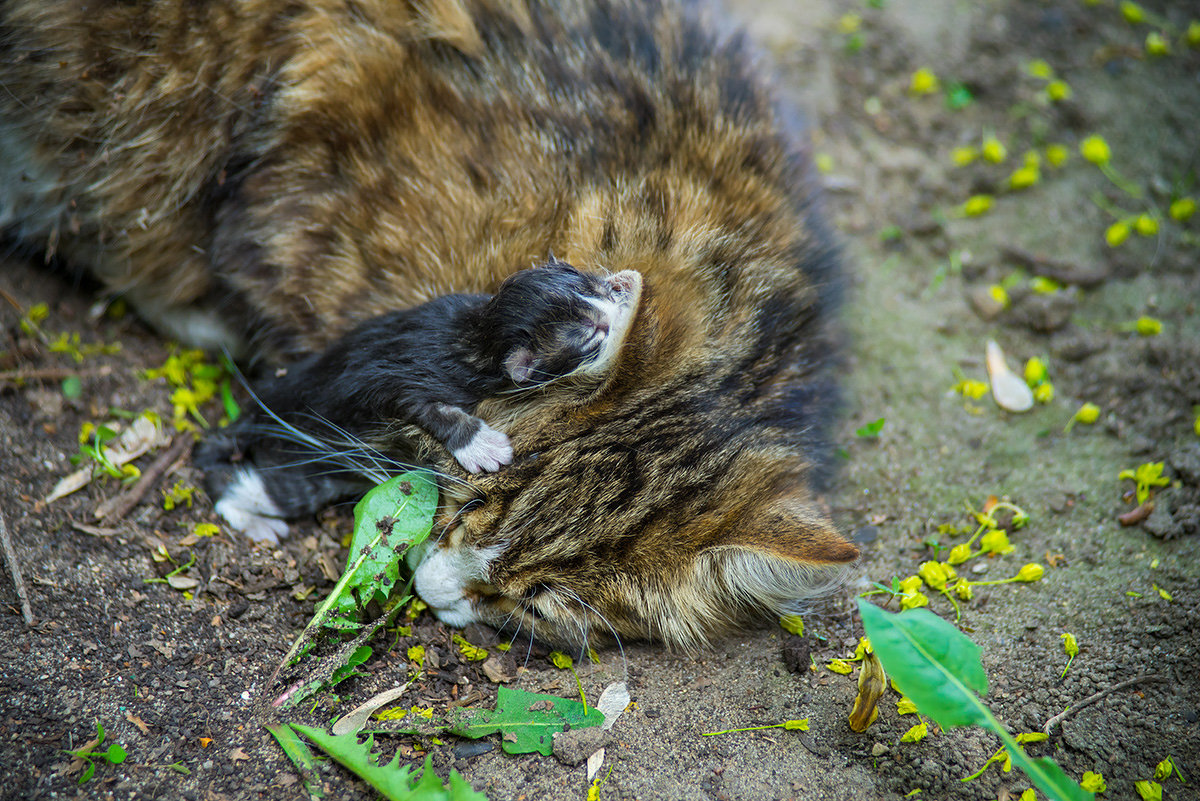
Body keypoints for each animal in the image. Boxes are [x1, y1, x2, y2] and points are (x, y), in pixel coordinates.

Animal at [196, 262, 643, 544]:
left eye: (589, 283)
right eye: (593, 334)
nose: (614, 300)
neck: (474, 333)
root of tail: (253, 415)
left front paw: (626, 281)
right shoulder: (395, 382)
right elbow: (427, 406)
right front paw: (483, 447)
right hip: (299, 466)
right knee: (241, 483)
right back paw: (254, 520)